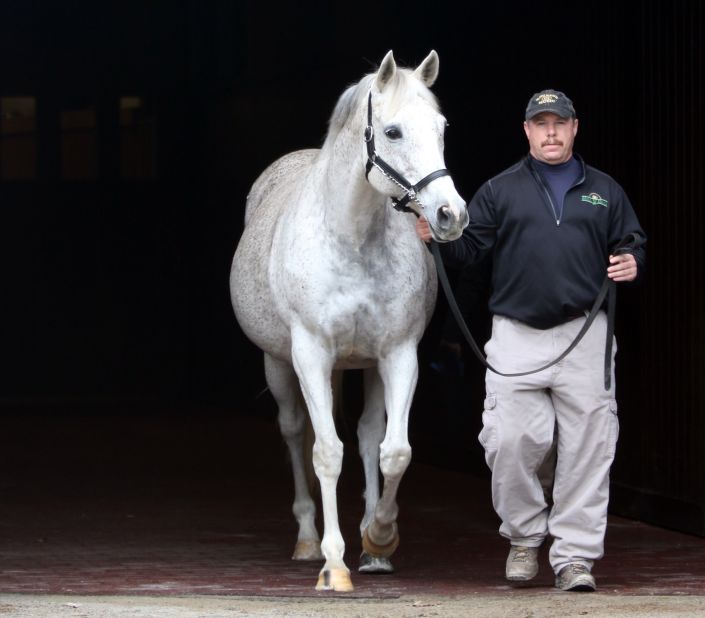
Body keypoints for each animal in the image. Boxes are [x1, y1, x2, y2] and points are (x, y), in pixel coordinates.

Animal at [228, 50, 464, 588]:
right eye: (393, 132)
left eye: (441, 127)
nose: (451, 215)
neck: (352, 238)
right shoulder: (311, 355)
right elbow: (326, 453)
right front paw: (334, 565)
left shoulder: (398, 355)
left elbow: (393, 450)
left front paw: (379, 537)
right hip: (281, 365)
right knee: (296, 432)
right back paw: (307, 540)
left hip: (363, 366)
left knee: (367, 435)